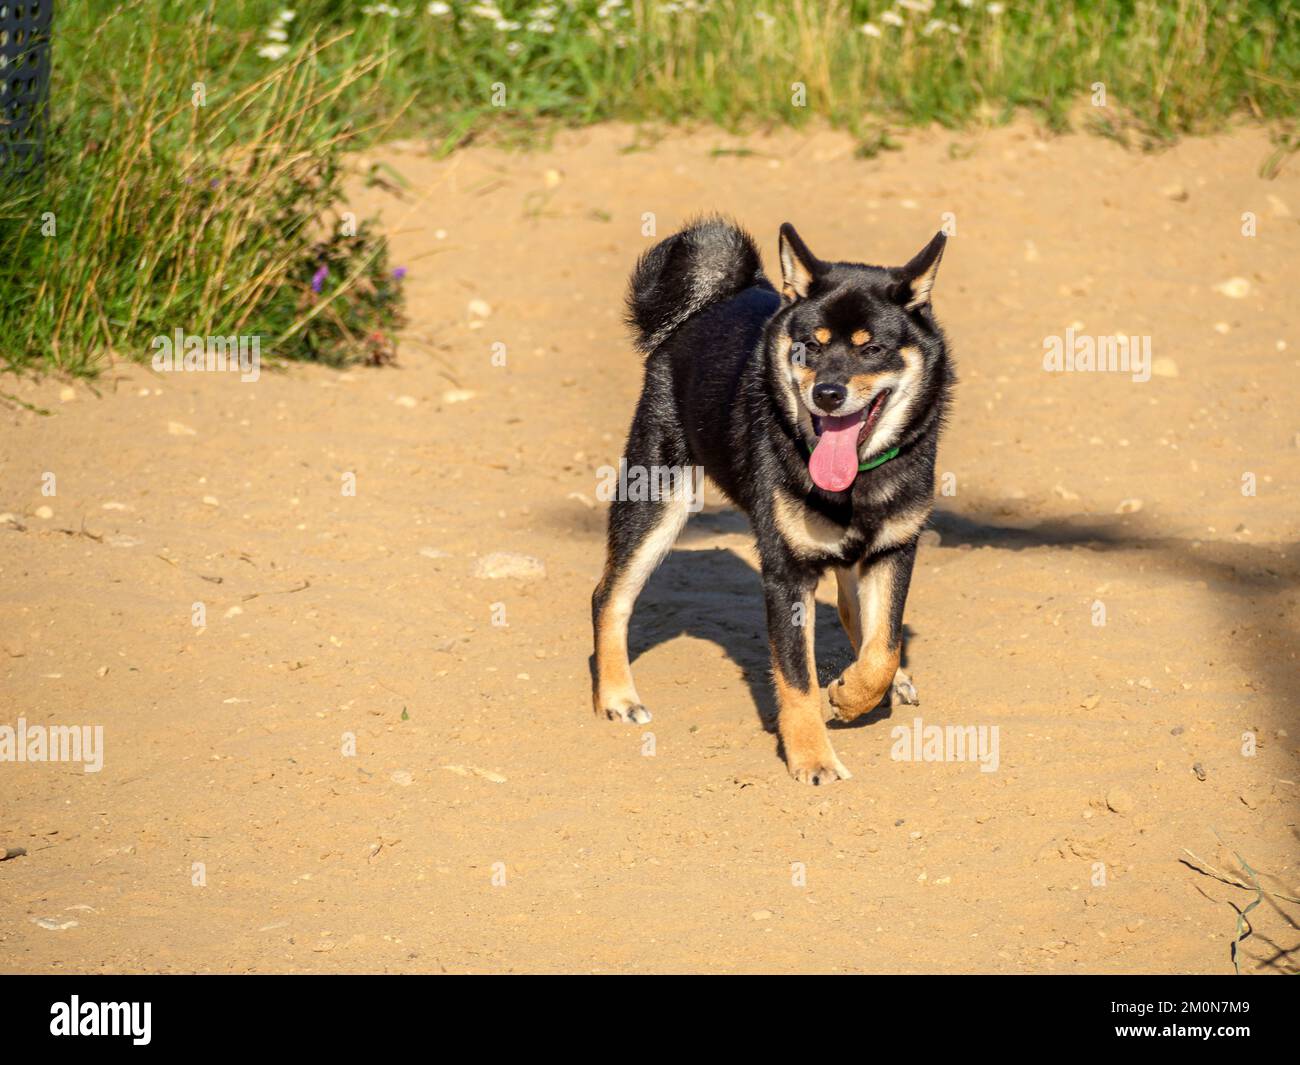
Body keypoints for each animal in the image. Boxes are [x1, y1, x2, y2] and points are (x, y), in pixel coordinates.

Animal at [592, 218, 956, 785]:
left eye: (872, 349)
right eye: (808, 346)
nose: (827, 394)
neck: (857, 481)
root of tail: (711, 300)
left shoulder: (894, 550)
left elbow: (885, 644)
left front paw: (855, 693)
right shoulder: (786, 573)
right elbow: (797, 678)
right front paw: (813, 758)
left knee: (858, 615)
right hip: (655, 499)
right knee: (609, 597)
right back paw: (616, 697)